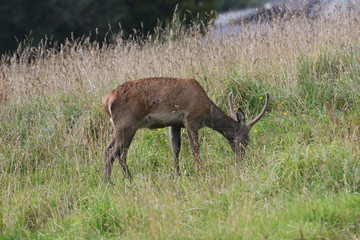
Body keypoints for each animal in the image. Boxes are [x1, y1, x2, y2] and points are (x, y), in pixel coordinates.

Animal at [102, 77, 270, 182]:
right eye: (246, 139)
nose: (243, 159)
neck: (206, 110)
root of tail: (106, 100)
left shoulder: (175, 123)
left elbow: (175, 149)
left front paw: (177, 174)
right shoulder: (191, 119)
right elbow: (195, 148)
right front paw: (200, 171)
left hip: (124, 127)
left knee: (117, 151)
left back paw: (127, 179)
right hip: (126, 124)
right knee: (113, 151)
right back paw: (108, 182)